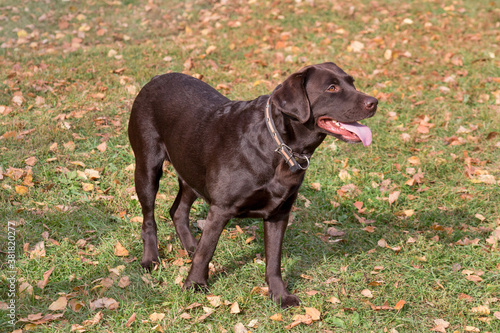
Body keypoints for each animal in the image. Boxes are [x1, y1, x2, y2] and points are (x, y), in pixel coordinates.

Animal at [127, 62, 376, 306]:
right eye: (331, 88)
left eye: (352, 83)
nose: (374, 102)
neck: (279, 146)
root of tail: (155, 78)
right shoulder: (220, 208)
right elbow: (207, 251)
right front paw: (195, 284)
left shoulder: (279, 213)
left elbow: (274, 261)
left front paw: (279, 295)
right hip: (148, 168)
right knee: (149, 219)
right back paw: (151, 259)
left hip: (191, 169)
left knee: (178, 210)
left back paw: (190, 246)